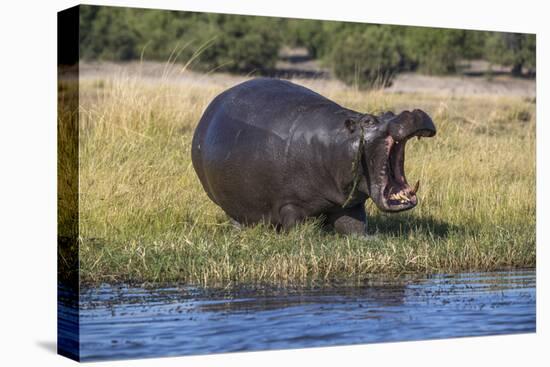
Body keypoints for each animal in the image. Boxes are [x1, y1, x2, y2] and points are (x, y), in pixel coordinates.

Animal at [192, 79, 438, 237]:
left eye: (388, 113)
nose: (411, 112)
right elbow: (297, 227)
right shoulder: (290, 204)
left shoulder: (349, 204)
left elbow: (354, 227)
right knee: (237, 217)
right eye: (368, 121)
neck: (338, 142)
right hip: (230, 204)